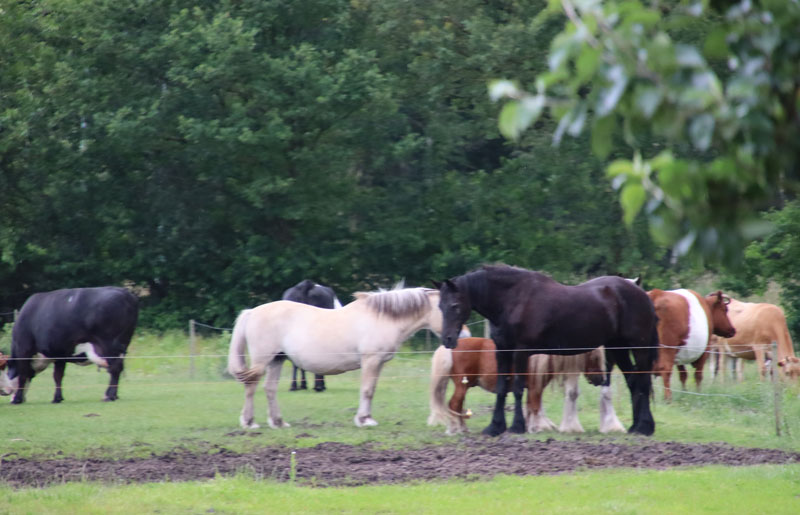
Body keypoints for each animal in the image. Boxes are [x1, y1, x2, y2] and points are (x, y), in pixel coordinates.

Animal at [0, 288, 139, 406]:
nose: (6, 392)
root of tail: (124, 293)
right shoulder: (59, 353)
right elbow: (58, 376)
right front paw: (57, 398)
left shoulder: (23, 349)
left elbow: (23, 375)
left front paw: (17, 399)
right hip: (121, 346)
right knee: (118, 368)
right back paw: (112, 395)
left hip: (109, 345)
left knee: (114, 368)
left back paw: (109, 396)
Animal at [228, 286, 444, 428]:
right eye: (449, 307)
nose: (452, 338)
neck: (382, 317)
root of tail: (252, 312)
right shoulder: (371, 361)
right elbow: (367, 390)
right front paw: (364, 420)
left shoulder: (379, 364)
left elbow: (371, 390)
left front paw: (366, 417)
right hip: (262, 360)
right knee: (251, 386)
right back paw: (249, 422)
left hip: (277, 359)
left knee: (269, 389)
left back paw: (278, 422)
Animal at [428, 338, 620, 436]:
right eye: (595, 357)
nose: (601, 379)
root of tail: (450, 348)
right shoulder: (536, 387)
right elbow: (534, 407)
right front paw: (535, 428)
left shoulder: (530, 388)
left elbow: (529, 408)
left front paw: (528, 426)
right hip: (462, 385)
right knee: (454, 405)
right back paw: (456, 429)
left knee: (457, 406)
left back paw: (461, 428)